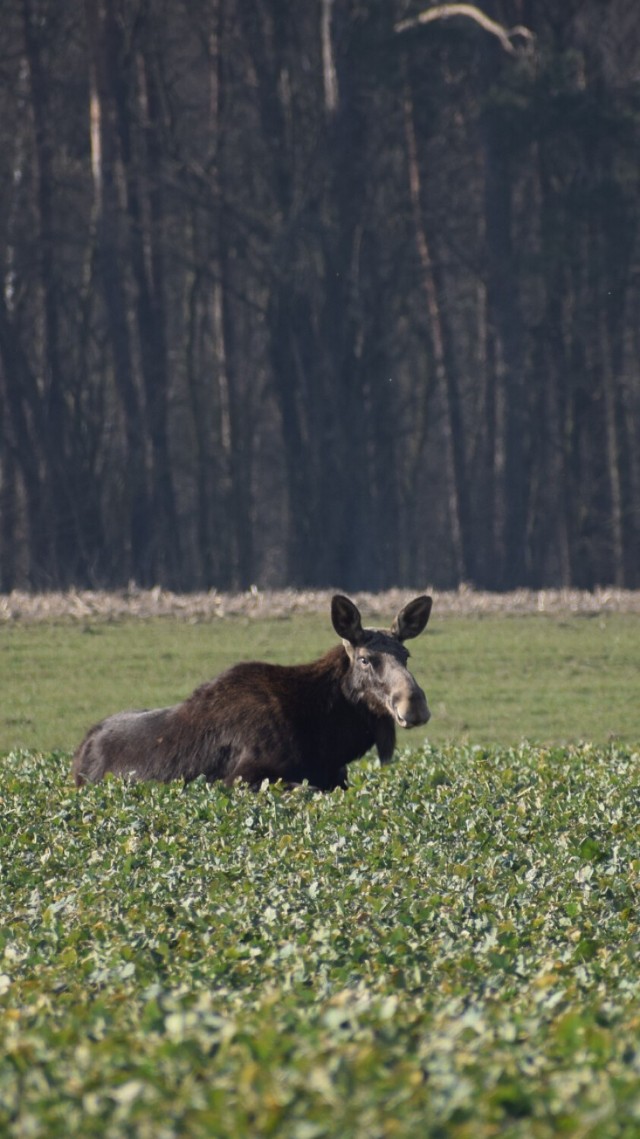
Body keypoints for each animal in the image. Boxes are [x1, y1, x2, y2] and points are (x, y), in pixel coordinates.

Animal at [72, 596, 430, 792]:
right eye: (365, 659)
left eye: (406, 655)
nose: (414, 703)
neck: (327, 740)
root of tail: (80, 750)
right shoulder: (240, 779)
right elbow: (308, 790)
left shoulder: (338, 778)